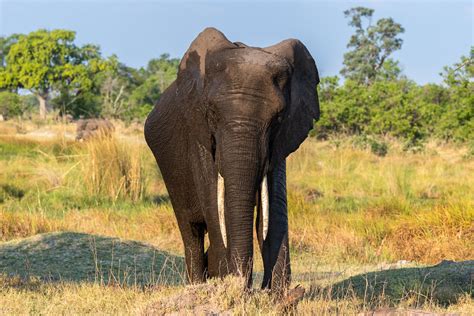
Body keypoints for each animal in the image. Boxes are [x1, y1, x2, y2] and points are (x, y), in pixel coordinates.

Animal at [146, 26, 320, 294]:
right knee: (191, 231)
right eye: (211, 113)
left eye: (278, 118)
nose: (252, 288)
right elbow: (215, 203)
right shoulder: (199, 134)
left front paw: (277, 294)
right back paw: (198, 282)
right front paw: (227, 283)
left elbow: (274, 209)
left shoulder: (280, 142)